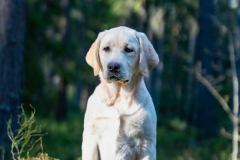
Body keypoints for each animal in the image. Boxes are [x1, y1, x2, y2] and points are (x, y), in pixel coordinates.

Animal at [82, 26, 159, 160]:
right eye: (106, 48)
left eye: (129, 50)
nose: (113, 66)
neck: (119, 96)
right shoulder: (90, 138)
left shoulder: (146, 143)